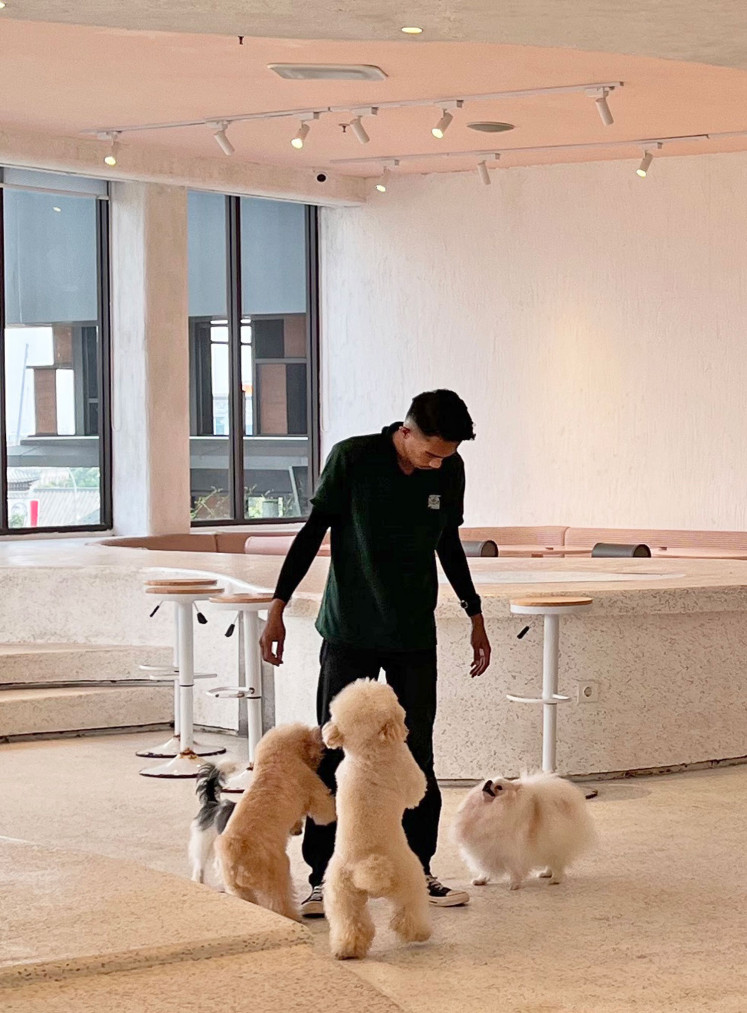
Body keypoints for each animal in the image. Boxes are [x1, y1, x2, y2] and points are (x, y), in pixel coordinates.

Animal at [213, 725, 334, 923]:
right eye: (309, 737)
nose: (319, 729)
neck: (274, 762)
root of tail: (235, 851)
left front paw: (296, 828)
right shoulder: (314, 792)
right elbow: (327, 812)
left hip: (240, 890)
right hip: (277, 871)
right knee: (279, 901)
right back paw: (292, 916)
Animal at [320, 680, 431, 956]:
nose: (402, 710)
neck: (366, 755)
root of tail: (368, 865)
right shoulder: (406, 770)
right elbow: (417, 789)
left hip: (341, 894)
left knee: (350, 922)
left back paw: (346, 949)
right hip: (409, 876)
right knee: (409, 910)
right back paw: (420, 933)